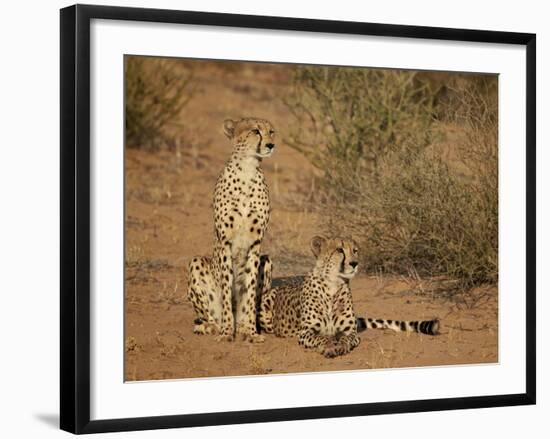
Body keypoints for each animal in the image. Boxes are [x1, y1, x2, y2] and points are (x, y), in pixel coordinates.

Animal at [189, 117, 276, 344]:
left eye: (271, 131)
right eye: (255, 131)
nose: (271, 145)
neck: (247, 169)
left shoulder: (255, 245)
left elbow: (250, 291)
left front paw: (250, 332)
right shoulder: (225, 243)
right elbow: (226, 291)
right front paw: (228, 332)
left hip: (267, 260)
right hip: (197, 262)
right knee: (210, 315)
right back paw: (211, 326)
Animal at [260, 237, 442, 358]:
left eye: (355, 250)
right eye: (339, 250)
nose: (355, 263)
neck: (333, 285)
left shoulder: (350, 332)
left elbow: (346, 339)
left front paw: (340, 346)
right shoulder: (305, 332)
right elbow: (321, 337)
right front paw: (329, 347)